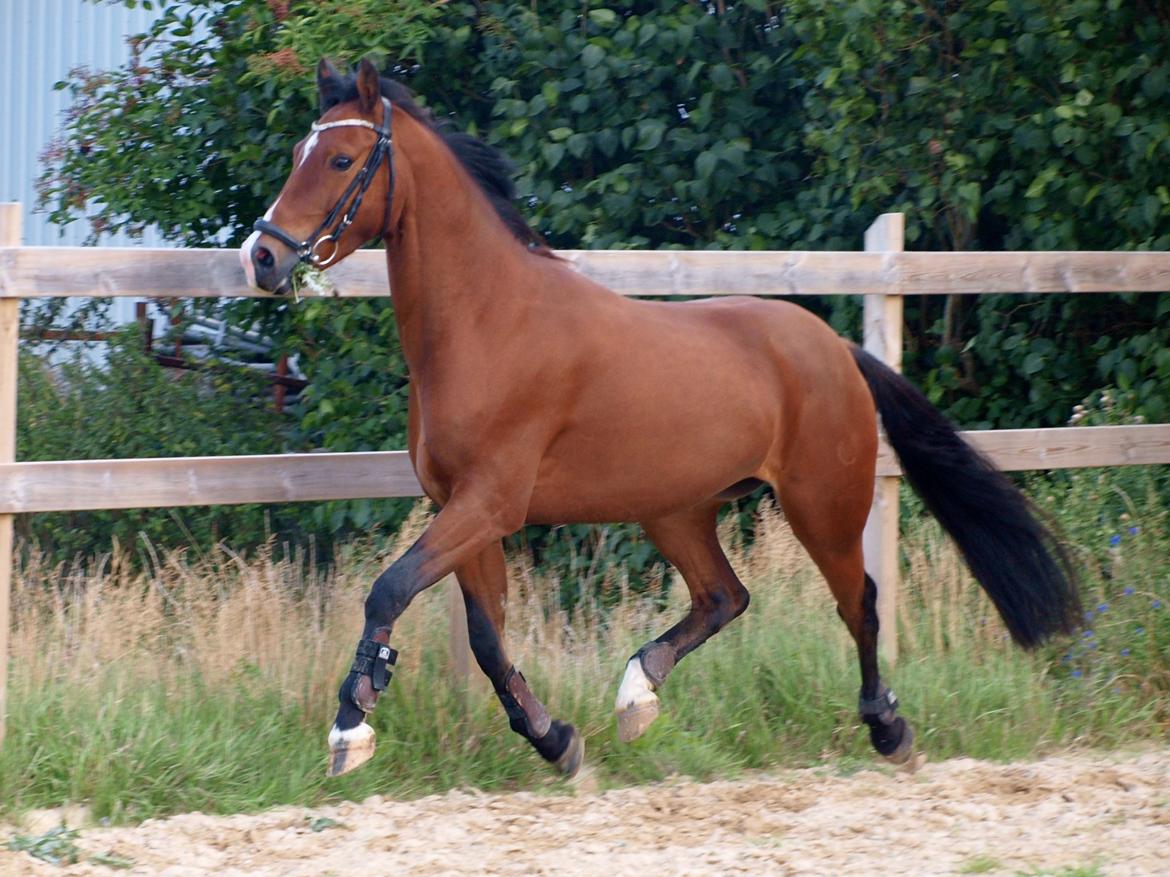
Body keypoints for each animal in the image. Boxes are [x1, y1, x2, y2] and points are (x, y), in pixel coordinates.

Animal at [239, 58, 1076, 781]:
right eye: (298, 152)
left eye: (340, 159)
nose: (261, 258)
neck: (489, 322)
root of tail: (835, 347)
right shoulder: (462, 507)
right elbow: (484, 637)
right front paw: (557, 741)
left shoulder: (489, 503)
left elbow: (389, 590)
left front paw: (351, 726)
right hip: (676, 509)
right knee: (725, 596)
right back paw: (637, 694)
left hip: (822, 504)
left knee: (858, 602)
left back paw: (887, 727)